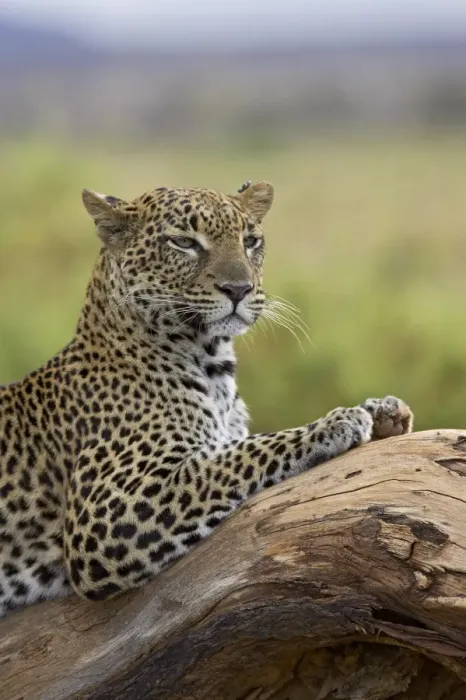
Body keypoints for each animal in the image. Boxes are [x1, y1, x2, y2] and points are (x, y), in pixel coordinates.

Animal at [0, 179, 413, 617]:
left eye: (250, 241)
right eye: (184, 242)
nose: (239, 289)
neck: (214, 365)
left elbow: (232, 448)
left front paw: (383, 411)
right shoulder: (107, 510)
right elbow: (237, 456)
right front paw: (337, 422)